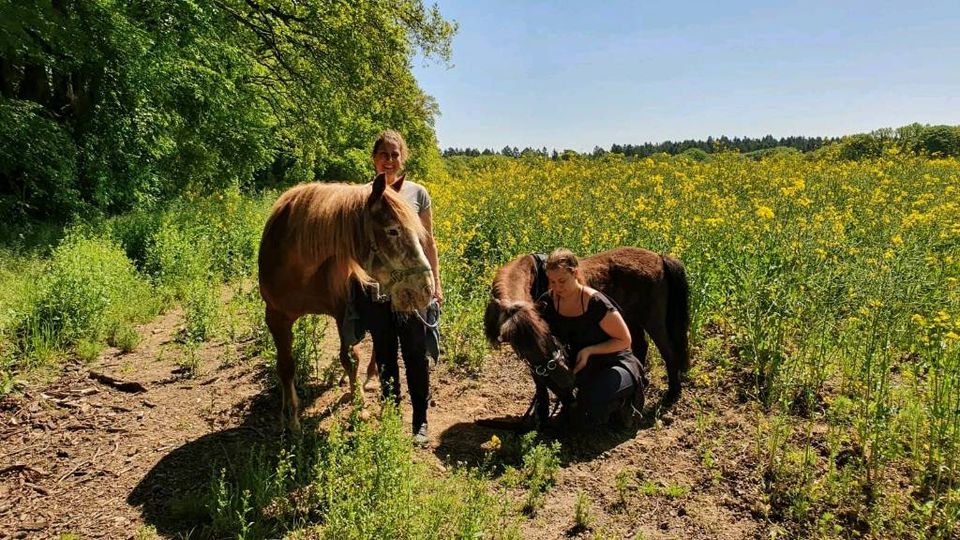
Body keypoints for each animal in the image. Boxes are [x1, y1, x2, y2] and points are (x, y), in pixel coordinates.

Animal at [256, 175, 434, 432]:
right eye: (393, 230)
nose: (426, 288)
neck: (299, 265)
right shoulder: (276, 317)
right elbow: (286, 366)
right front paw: (290, 417)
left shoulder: (344, 313)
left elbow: (350, 357)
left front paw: (359, 406)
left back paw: (368, 378)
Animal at [488, 247, 688, 398]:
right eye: (522, 348)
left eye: (548, 333)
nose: (566, 377)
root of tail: (660, 258)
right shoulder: (535, 366)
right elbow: (542, 386)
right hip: (632, 319)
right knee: (641, 346)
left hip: (653, 322)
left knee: (668, 352)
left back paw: (672, 395)